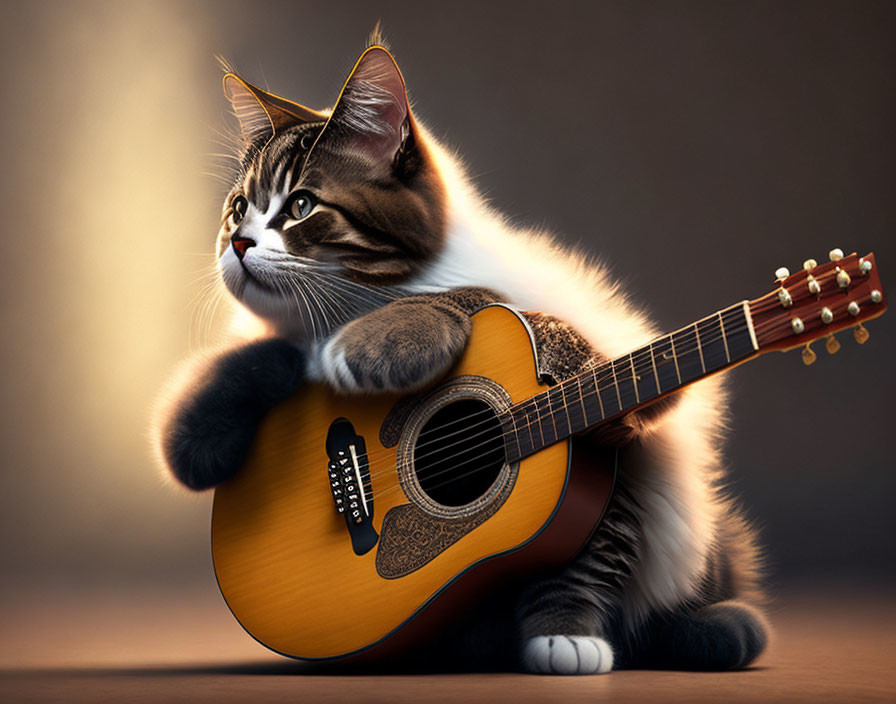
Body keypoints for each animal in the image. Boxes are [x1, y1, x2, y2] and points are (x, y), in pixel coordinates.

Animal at [156, 30, 768, 672]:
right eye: (237, 210)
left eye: (300, 206)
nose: (238, 242)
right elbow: (196, 424)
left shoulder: (614, 414)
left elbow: (588, 552)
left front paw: (566, 634)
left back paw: (717, 626)